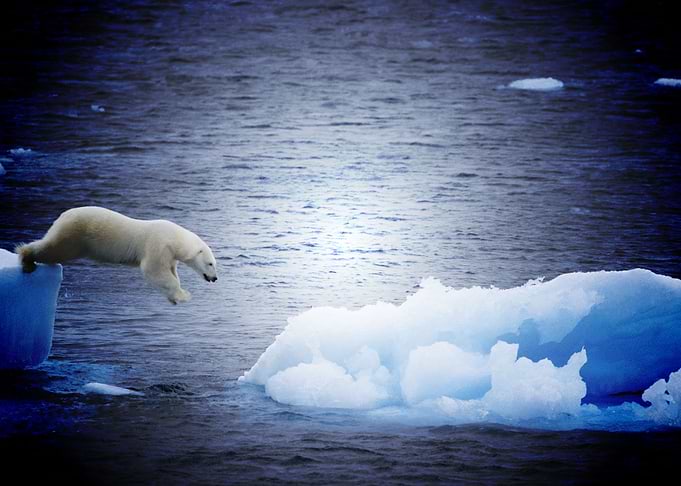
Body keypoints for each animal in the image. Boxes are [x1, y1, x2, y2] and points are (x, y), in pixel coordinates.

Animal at [16, 206, 218, 304]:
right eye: (210, 263)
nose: (215, 278)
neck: (175, 238)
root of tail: (63, 215)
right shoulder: (157, 245)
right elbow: (153, 270)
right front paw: (183, 295)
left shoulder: (169, 255)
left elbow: (169, 273)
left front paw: (174, 297)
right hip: (74, 234)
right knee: (53, 249)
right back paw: (26, 258)